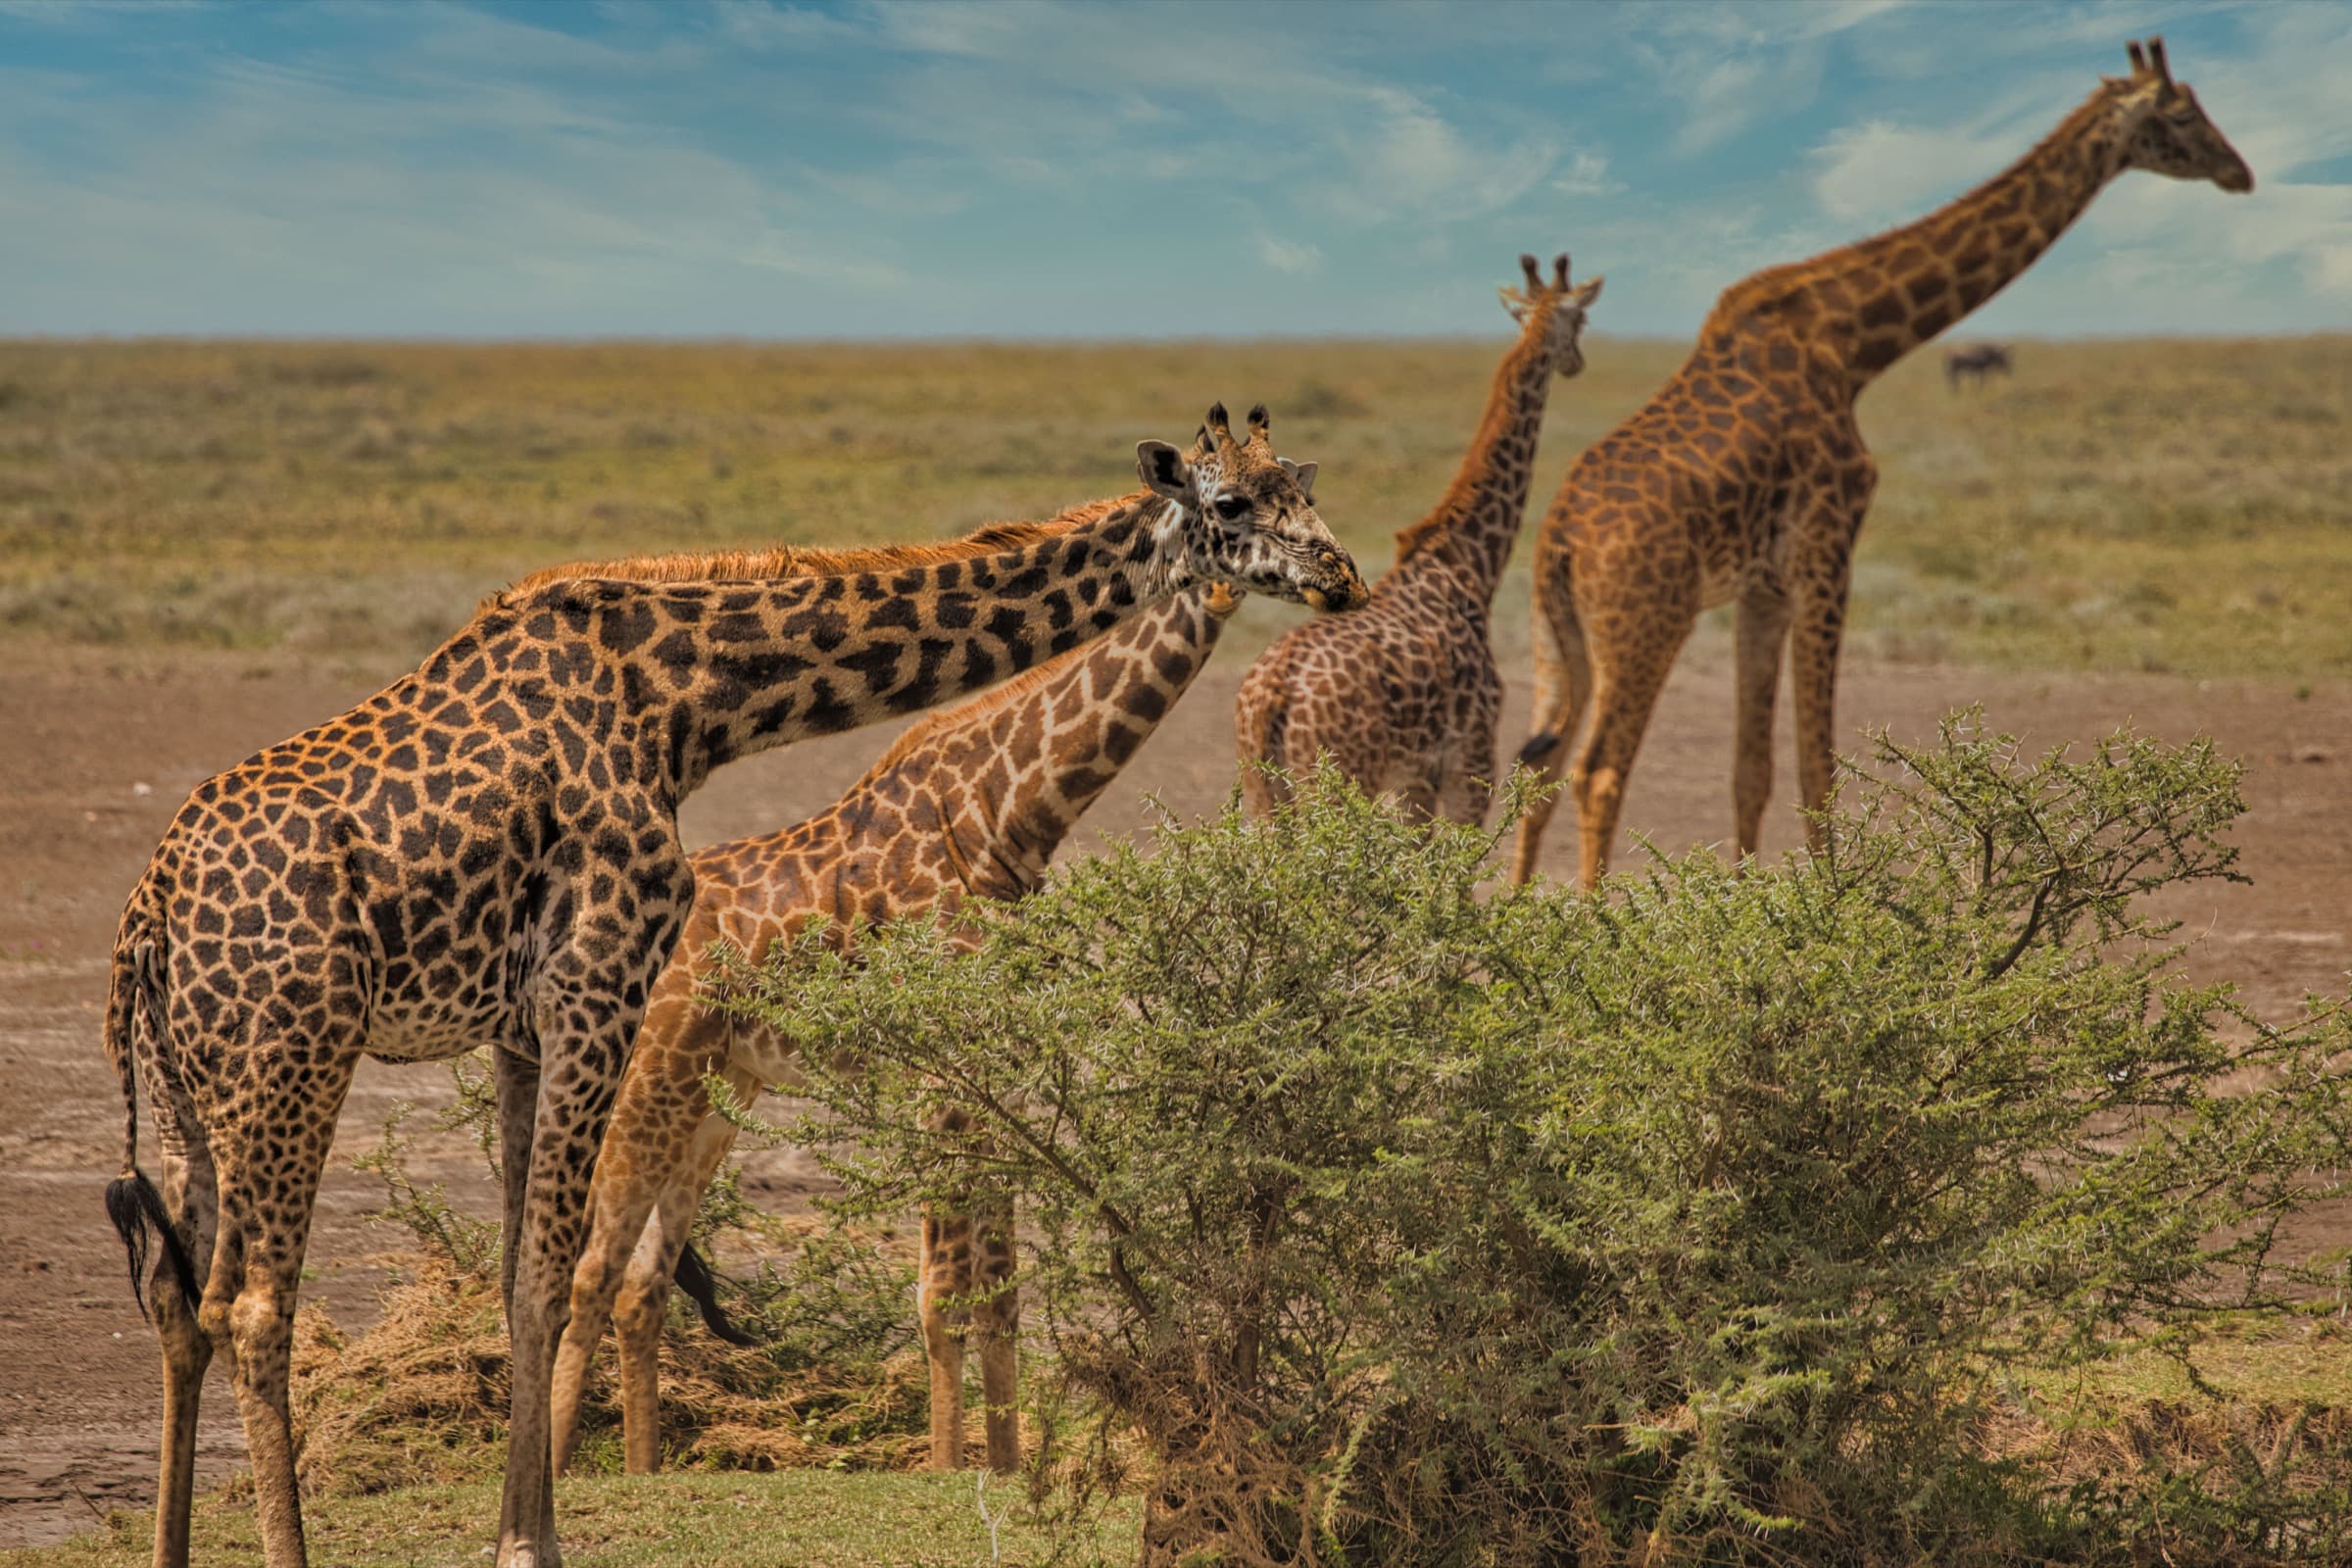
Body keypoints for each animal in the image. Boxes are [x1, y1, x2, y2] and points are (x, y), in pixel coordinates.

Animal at [546, 563, 1244, 1481]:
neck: (1008, 815)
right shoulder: (936, 1078)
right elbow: (941, 1290)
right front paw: (949, 1471)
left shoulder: (998, 1077)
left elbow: (1000, 1292)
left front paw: (1005, 1468)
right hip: (655, 1073)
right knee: (593, 1273)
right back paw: (556, 1467)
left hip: (718, 1095)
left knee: (642, 1287)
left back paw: (643, 1470)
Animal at [1234, 254, 1599, 822]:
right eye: (1579, 319)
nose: (1576, 361)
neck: (1468, 564)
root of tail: (1271, 696)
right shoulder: (1464, 767)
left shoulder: (1411, 780)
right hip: (1336, 782)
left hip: (1263, 793)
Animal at [1508, 37, 2252, 889]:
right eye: (2182, 114)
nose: (2240, 171)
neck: (1855, 343)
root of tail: (1560, 542)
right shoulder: (1829, 551)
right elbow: (1818, 771)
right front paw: (1832, 905)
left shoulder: (1763, 588)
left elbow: (1752, 770)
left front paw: (1746, 900)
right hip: (1645, 624)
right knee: (1598, 771)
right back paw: (1591, 911)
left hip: (1557, 635)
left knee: (1540, 763)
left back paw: (1514, 908)